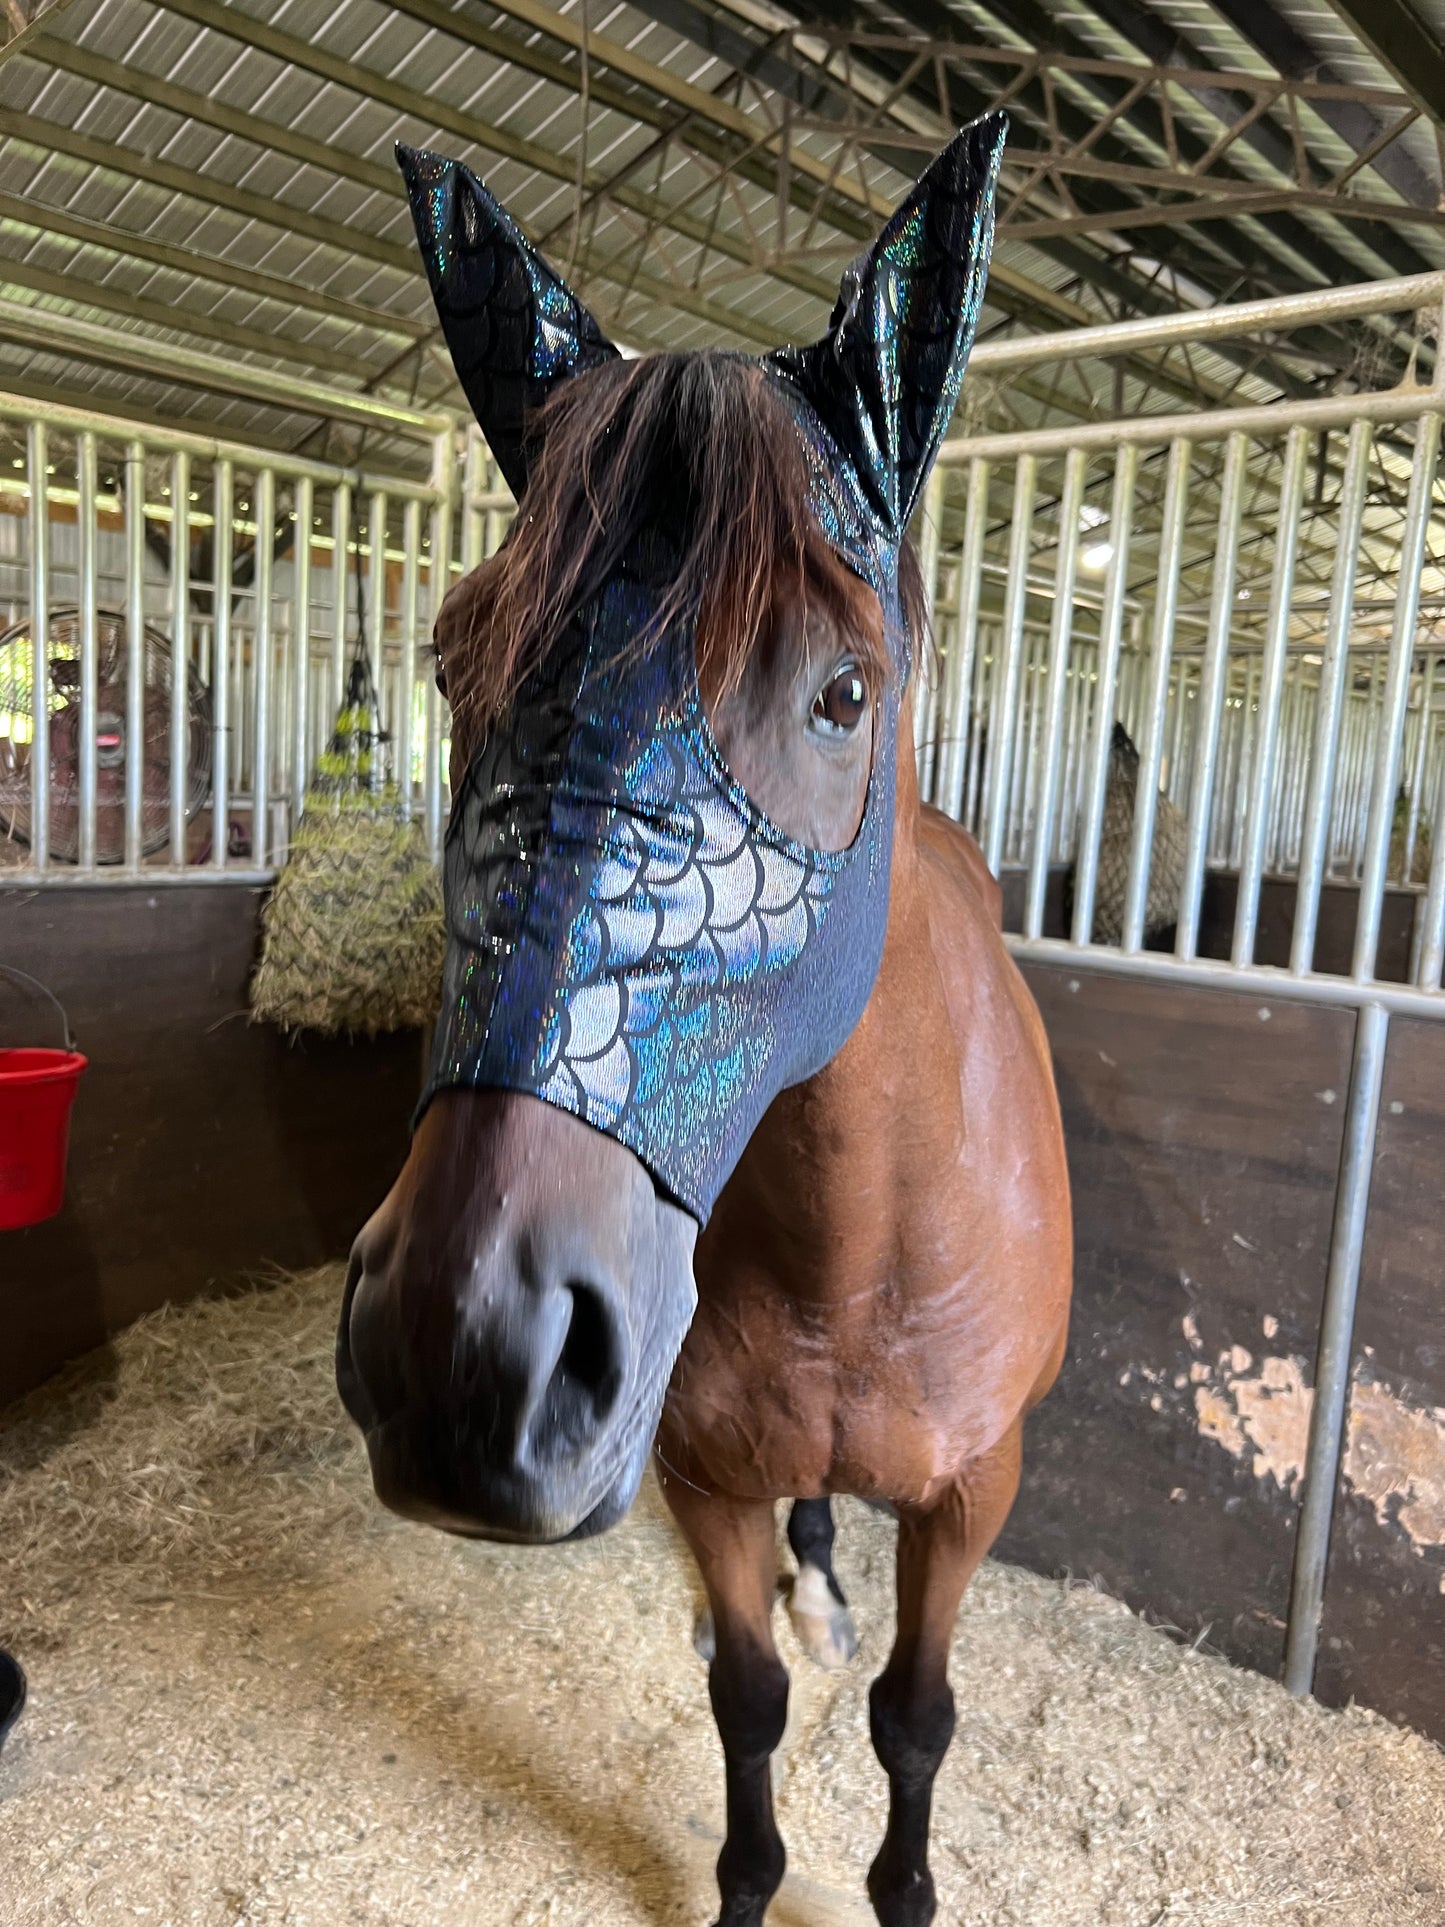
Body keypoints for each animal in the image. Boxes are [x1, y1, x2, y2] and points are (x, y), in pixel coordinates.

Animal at [337, 115, 1073, 1927]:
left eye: (844, 690)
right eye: (452, 670)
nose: (469, 1343)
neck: (855, 1260)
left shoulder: (975, 1493)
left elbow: (915, 1714)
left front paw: (903, 1886)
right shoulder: (705, 1477)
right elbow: (747, 1699)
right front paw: (745, 1879)